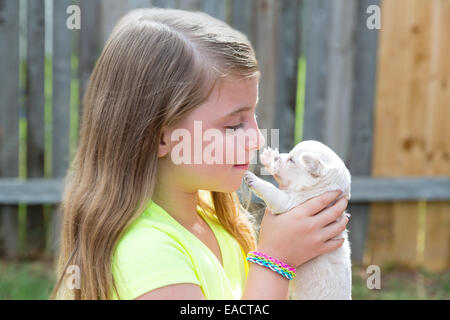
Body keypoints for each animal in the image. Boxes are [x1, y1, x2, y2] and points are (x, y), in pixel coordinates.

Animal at [243, 140, 352, 300]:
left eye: (291, 160)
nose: (277, 157)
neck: (320, 188)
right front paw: (269, 157)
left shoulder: (288, 203)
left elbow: (272, 191)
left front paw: (255, 179)